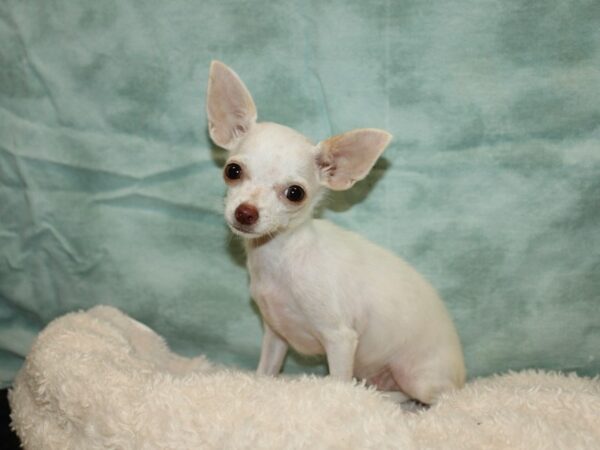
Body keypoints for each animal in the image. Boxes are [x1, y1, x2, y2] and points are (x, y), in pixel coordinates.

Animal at [209, 60, 466, 404]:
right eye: (232, 171)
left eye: (295, 193)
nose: (245, 212)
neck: (281, 257)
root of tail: (462, 375)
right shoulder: (276, 336)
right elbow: (265, 373)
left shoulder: (340, 338)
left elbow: (338, 383)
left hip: (418, 378)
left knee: (433, 398)